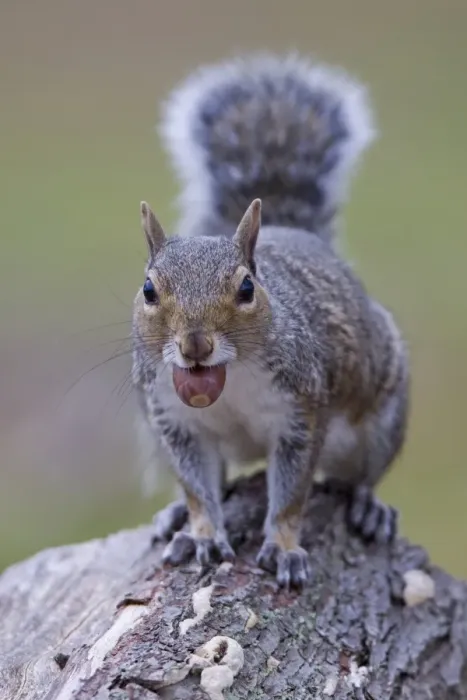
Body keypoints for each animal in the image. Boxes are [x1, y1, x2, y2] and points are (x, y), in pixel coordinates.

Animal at [132, 54, 409, 588]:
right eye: (149, 290)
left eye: (246, 289)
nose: (195, 346)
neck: (231, 377)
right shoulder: (175, 423)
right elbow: (198, 490)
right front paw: (201, 533)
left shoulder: (302, 414)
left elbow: (292, 495)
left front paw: (282, 547)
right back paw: (174, 516)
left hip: (384, 414)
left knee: (362, 475)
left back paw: (370, 506)